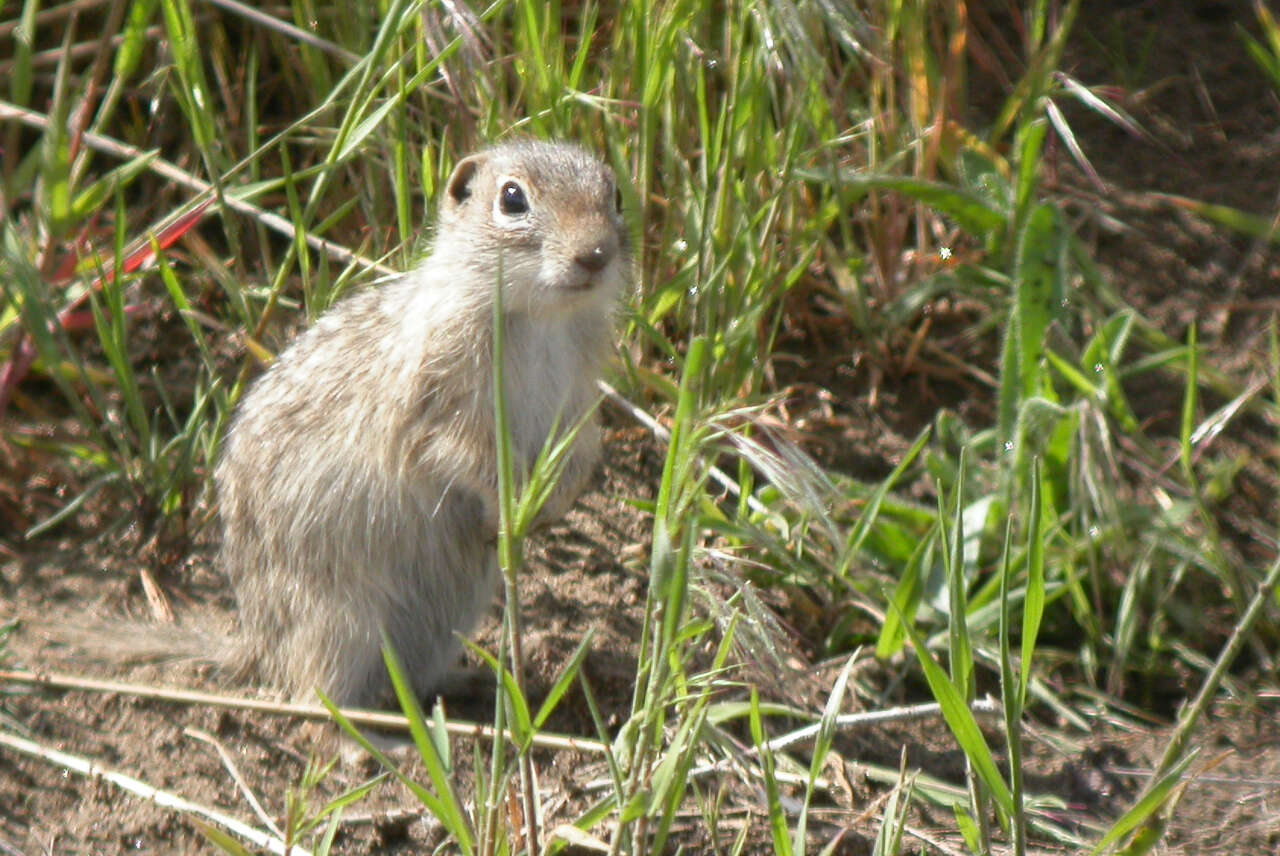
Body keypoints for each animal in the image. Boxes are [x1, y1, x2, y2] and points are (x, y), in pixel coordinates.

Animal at [216, 140, 634, 706]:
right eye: (512, 198)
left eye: (615, 195)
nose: (595, 254)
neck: (540, 317)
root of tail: (256, 644)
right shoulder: (440, 408)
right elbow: (464, 457)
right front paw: (510, 509)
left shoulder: (579, 403)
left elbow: (583, 451)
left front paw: (547, 506)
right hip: (342, 623)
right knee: (317, 700)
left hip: (448, 614)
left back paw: (469, 682)